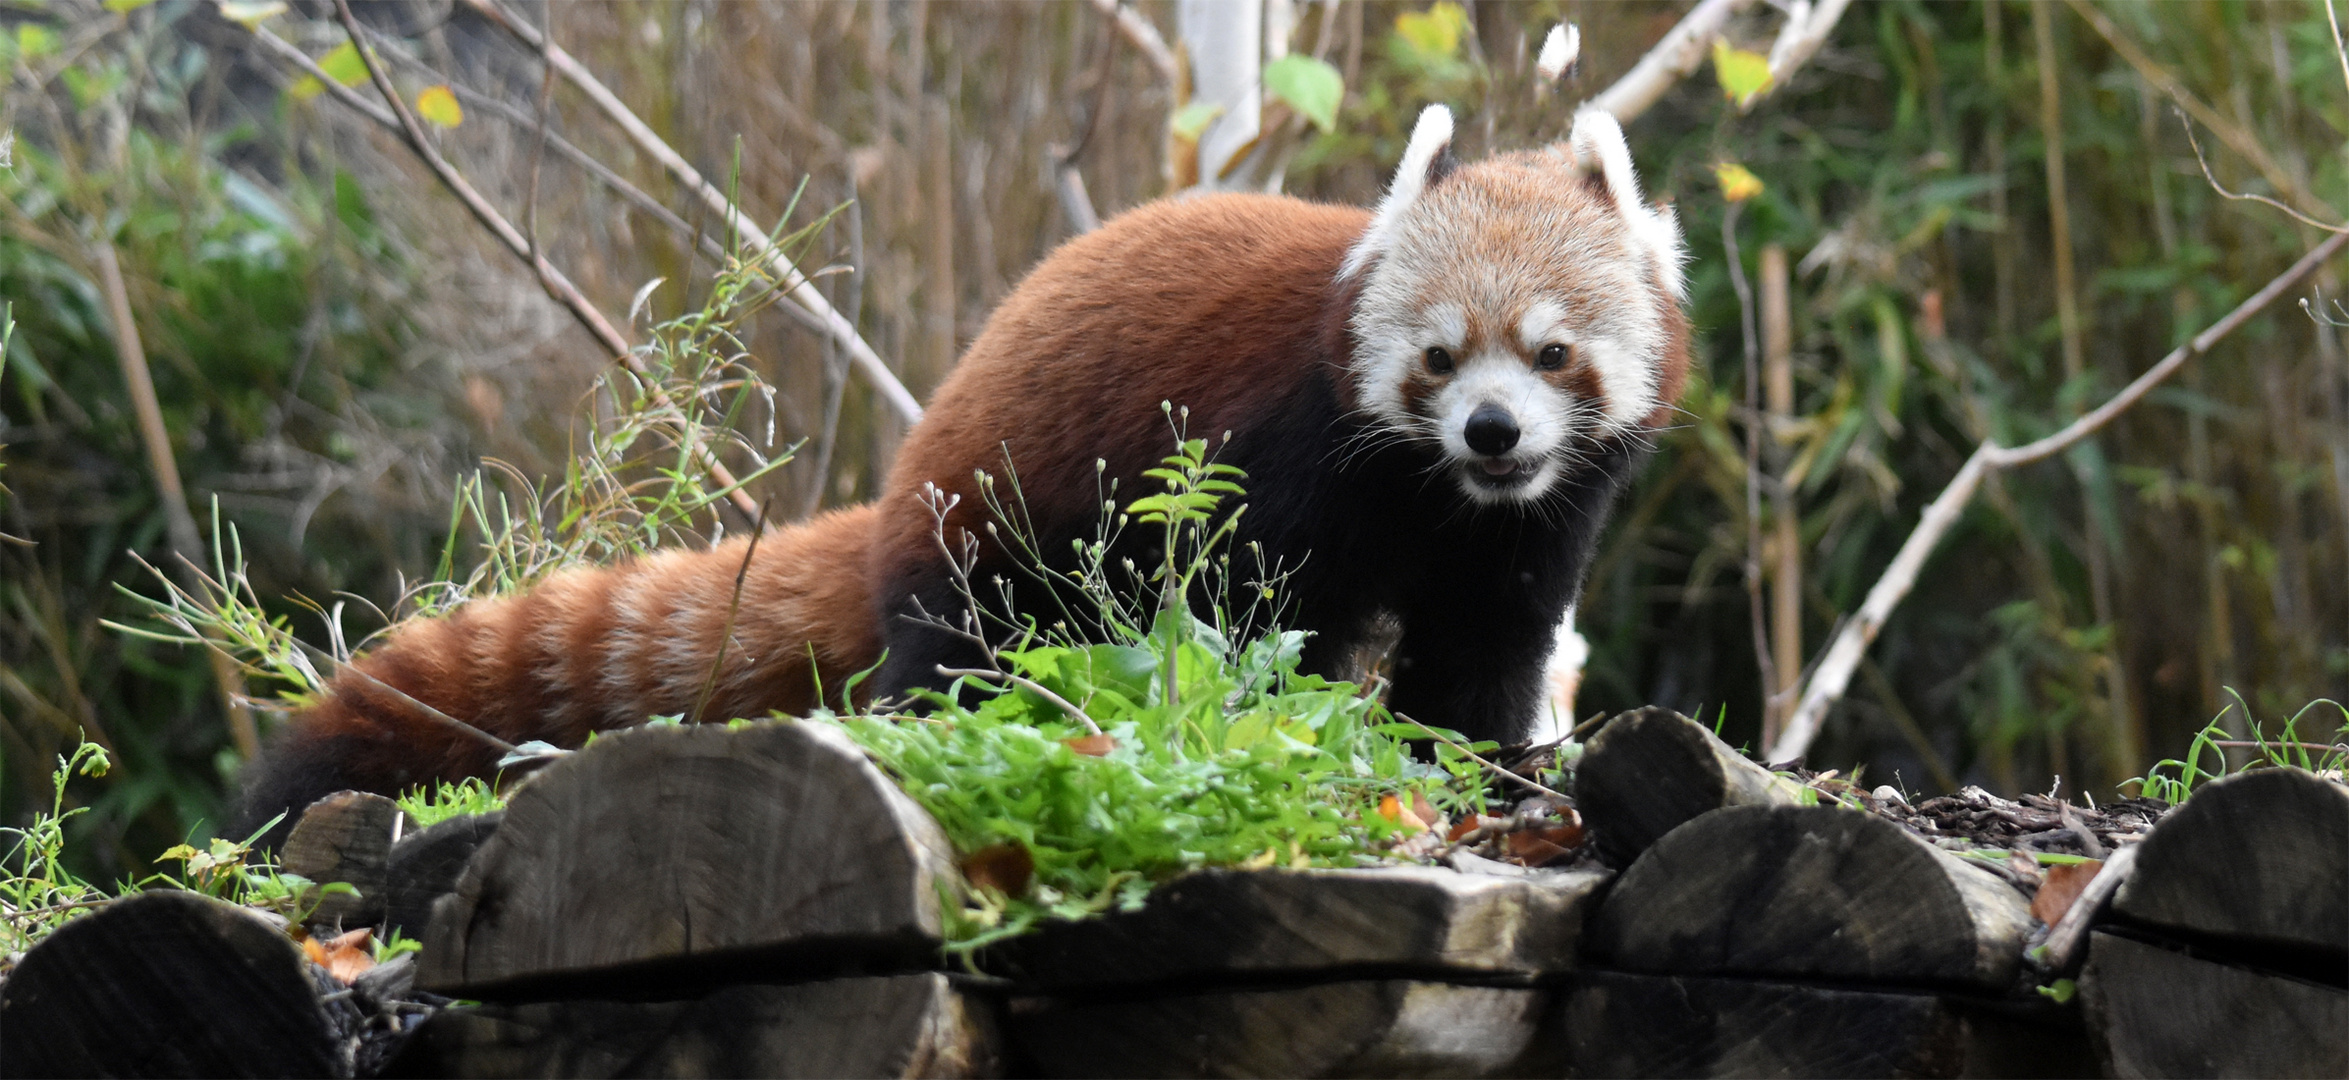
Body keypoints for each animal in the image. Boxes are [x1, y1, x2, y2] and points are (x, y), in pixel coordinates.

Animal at [238, 80, 1691, 831]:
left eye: (1552, 354)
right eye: (1440, 357)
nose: (1493, 432)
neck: (1431, 493)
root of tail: (899, 477)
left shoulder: (1533, 517)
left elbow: (1485, 648)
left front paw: (1482, 763)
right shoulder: (1276, 453)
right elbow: (1240, 613)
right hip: (994, 534)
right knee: (959, 653)